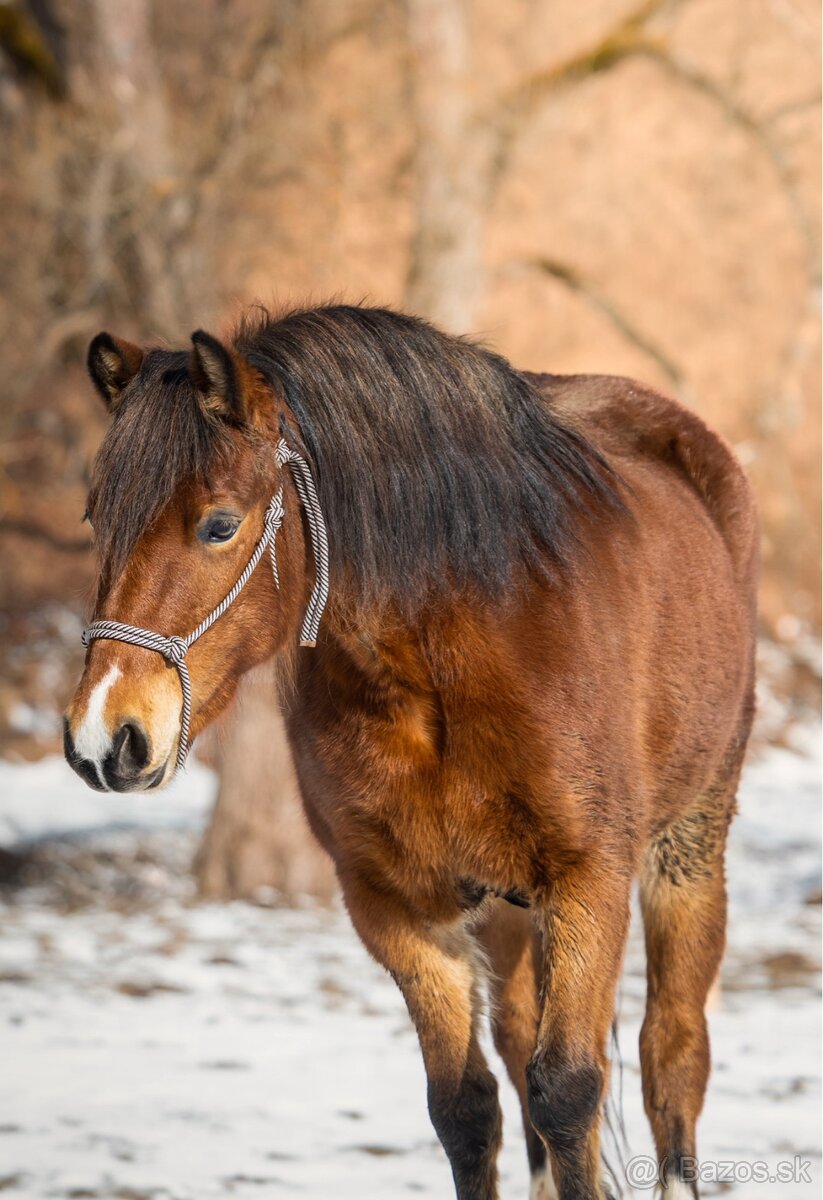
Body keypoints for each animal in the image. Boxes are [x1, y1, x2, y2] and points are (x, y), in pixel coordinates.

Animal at [64, 304, 758, 1200]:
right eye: (96, 518)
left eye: (219, 524)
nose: (102, 738)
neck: (442, 660)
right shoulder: (397, 905)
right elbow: (464, 1107)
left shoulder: (588, 882)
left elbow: (567, 1093)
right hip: (505, 907)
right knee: (521, 1044)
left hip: (687, 847)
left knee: (670, 1055)